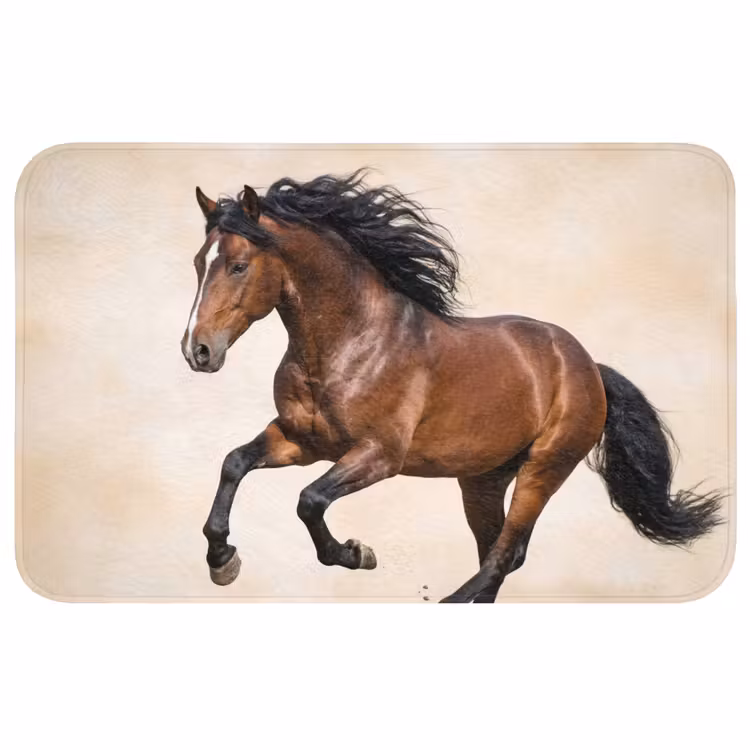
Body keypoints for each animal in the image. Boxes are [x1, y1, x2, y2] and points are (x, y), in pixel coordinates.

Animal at [181, 169, 723, 603]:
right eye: (198, 262)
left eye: (238, 265)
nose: (197, 351)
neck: (350, 342)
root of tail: (588, 365)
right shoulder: (302, 441)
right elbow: (234, 463)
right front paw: (223, 560)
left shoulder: (378, 455)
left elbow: (309, 500)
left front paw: (356, 554)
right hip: (483, 479)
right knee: (500, 552)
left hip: (545, 467)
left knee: (505, 553)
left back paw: (450, 599)